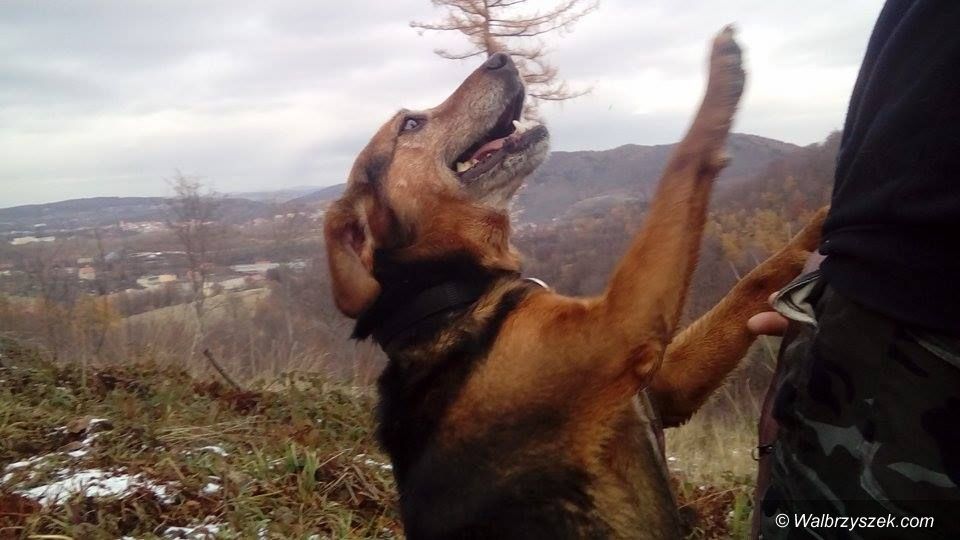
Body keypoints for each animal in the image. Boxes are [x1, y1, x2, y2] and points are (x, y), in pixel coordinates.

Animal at [324, 27, 824, 539]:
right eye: (410, 124)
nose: (501, 58)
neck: (451, 296)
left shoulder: (662, 389)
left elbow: (754, 281)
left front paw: (822, 226)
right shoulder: (623, 326)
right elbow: (686, 156)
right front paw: (722, 71)